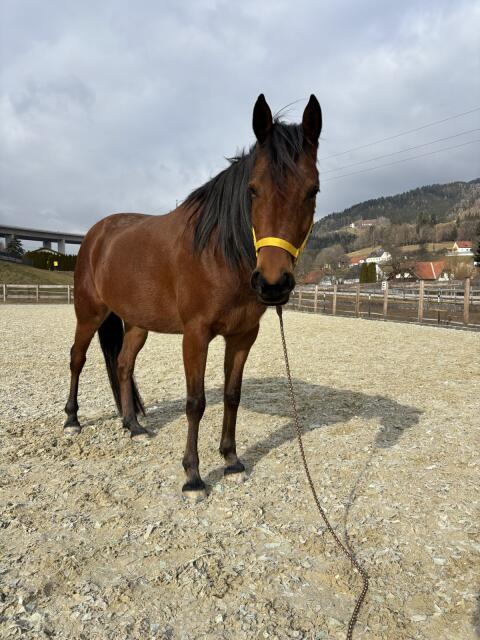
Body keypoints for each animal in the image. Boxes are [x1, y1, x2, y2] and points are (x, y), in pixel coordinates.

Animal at [64, 94, 322, 501]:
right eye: (252, 189)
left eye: (312, 191)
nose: (272, 284)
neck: (219, 251)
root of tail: (95, 235)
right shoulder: (195, 335)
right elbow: (196, 402)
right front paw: (193, 477)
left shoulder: (243, 335)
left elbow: (232, 395)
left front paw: (231, 461)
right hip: (89, 313)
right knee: (77, 359)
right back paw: (72, 420)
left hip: (137, 324)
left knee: (123, 365)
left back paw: (133, 426)